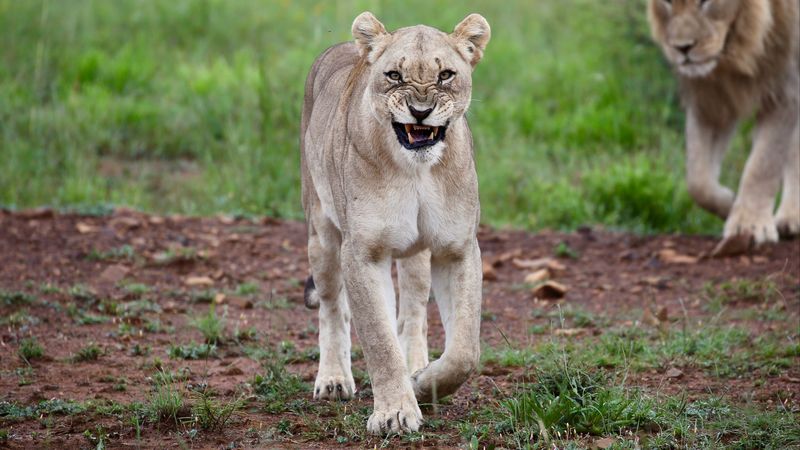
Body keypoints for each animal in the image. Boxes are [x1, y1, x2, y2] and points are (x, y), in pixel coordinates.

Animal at [299, 12, 490, 434]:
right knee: (332, 308)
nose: (420, 111)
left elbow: (465, 350)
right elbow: (379, 340)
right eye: (394, 75)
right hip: (322, 234)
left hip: (415, 256)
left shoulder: (457, 248)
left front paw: (423, 384)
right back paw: (333, 379)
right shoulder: (363, 253)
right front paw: (394, 413)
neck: (418, 170)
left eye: (445, 75)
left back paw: (416, 365)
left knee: (413, 312)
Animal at [648, 0, 800, 248]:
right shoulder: (710, 101)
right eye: (667, 2)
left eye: (706, 1)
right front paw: (729, 204)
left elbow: (762, 165)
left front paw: (749, 224)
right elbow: (697, 181)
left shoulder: (786, 91)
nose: (682, 48)